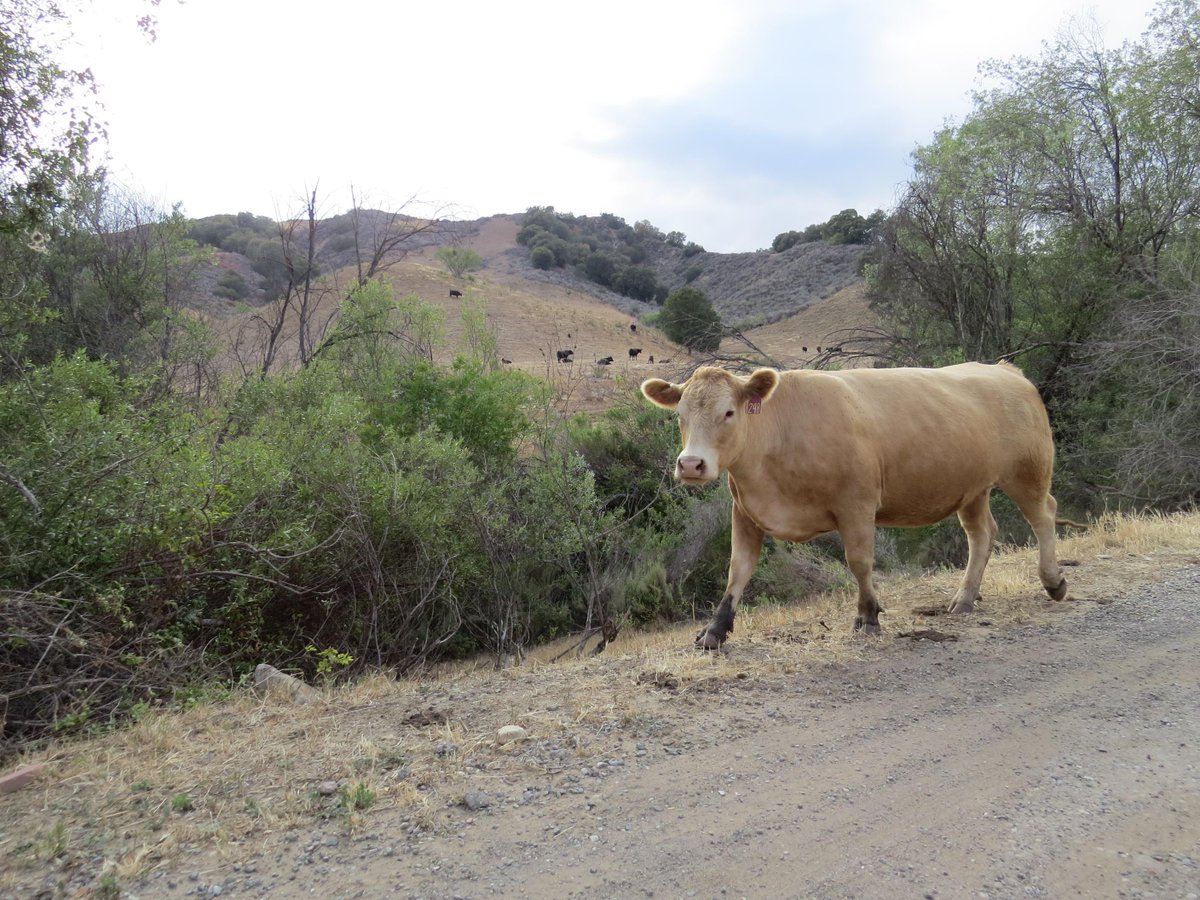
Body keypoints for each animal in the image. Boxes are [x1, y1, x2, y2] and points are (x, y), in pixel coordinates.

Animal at [641, 362, 1071, 648]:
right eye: (680, 415)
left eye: (729, 412)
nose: (691, 464)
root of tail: (1004, 369)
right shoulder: (746, 510)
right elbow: (737, 570)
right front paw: (715, 631)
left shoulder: (857, 504)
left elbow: (860, 562)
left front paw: (868, 615)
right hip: (971, 487)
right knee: (981, 534)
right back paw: (964, 598)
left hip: (1027, 470)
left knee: (1044, 516)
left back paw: (1053, 581)